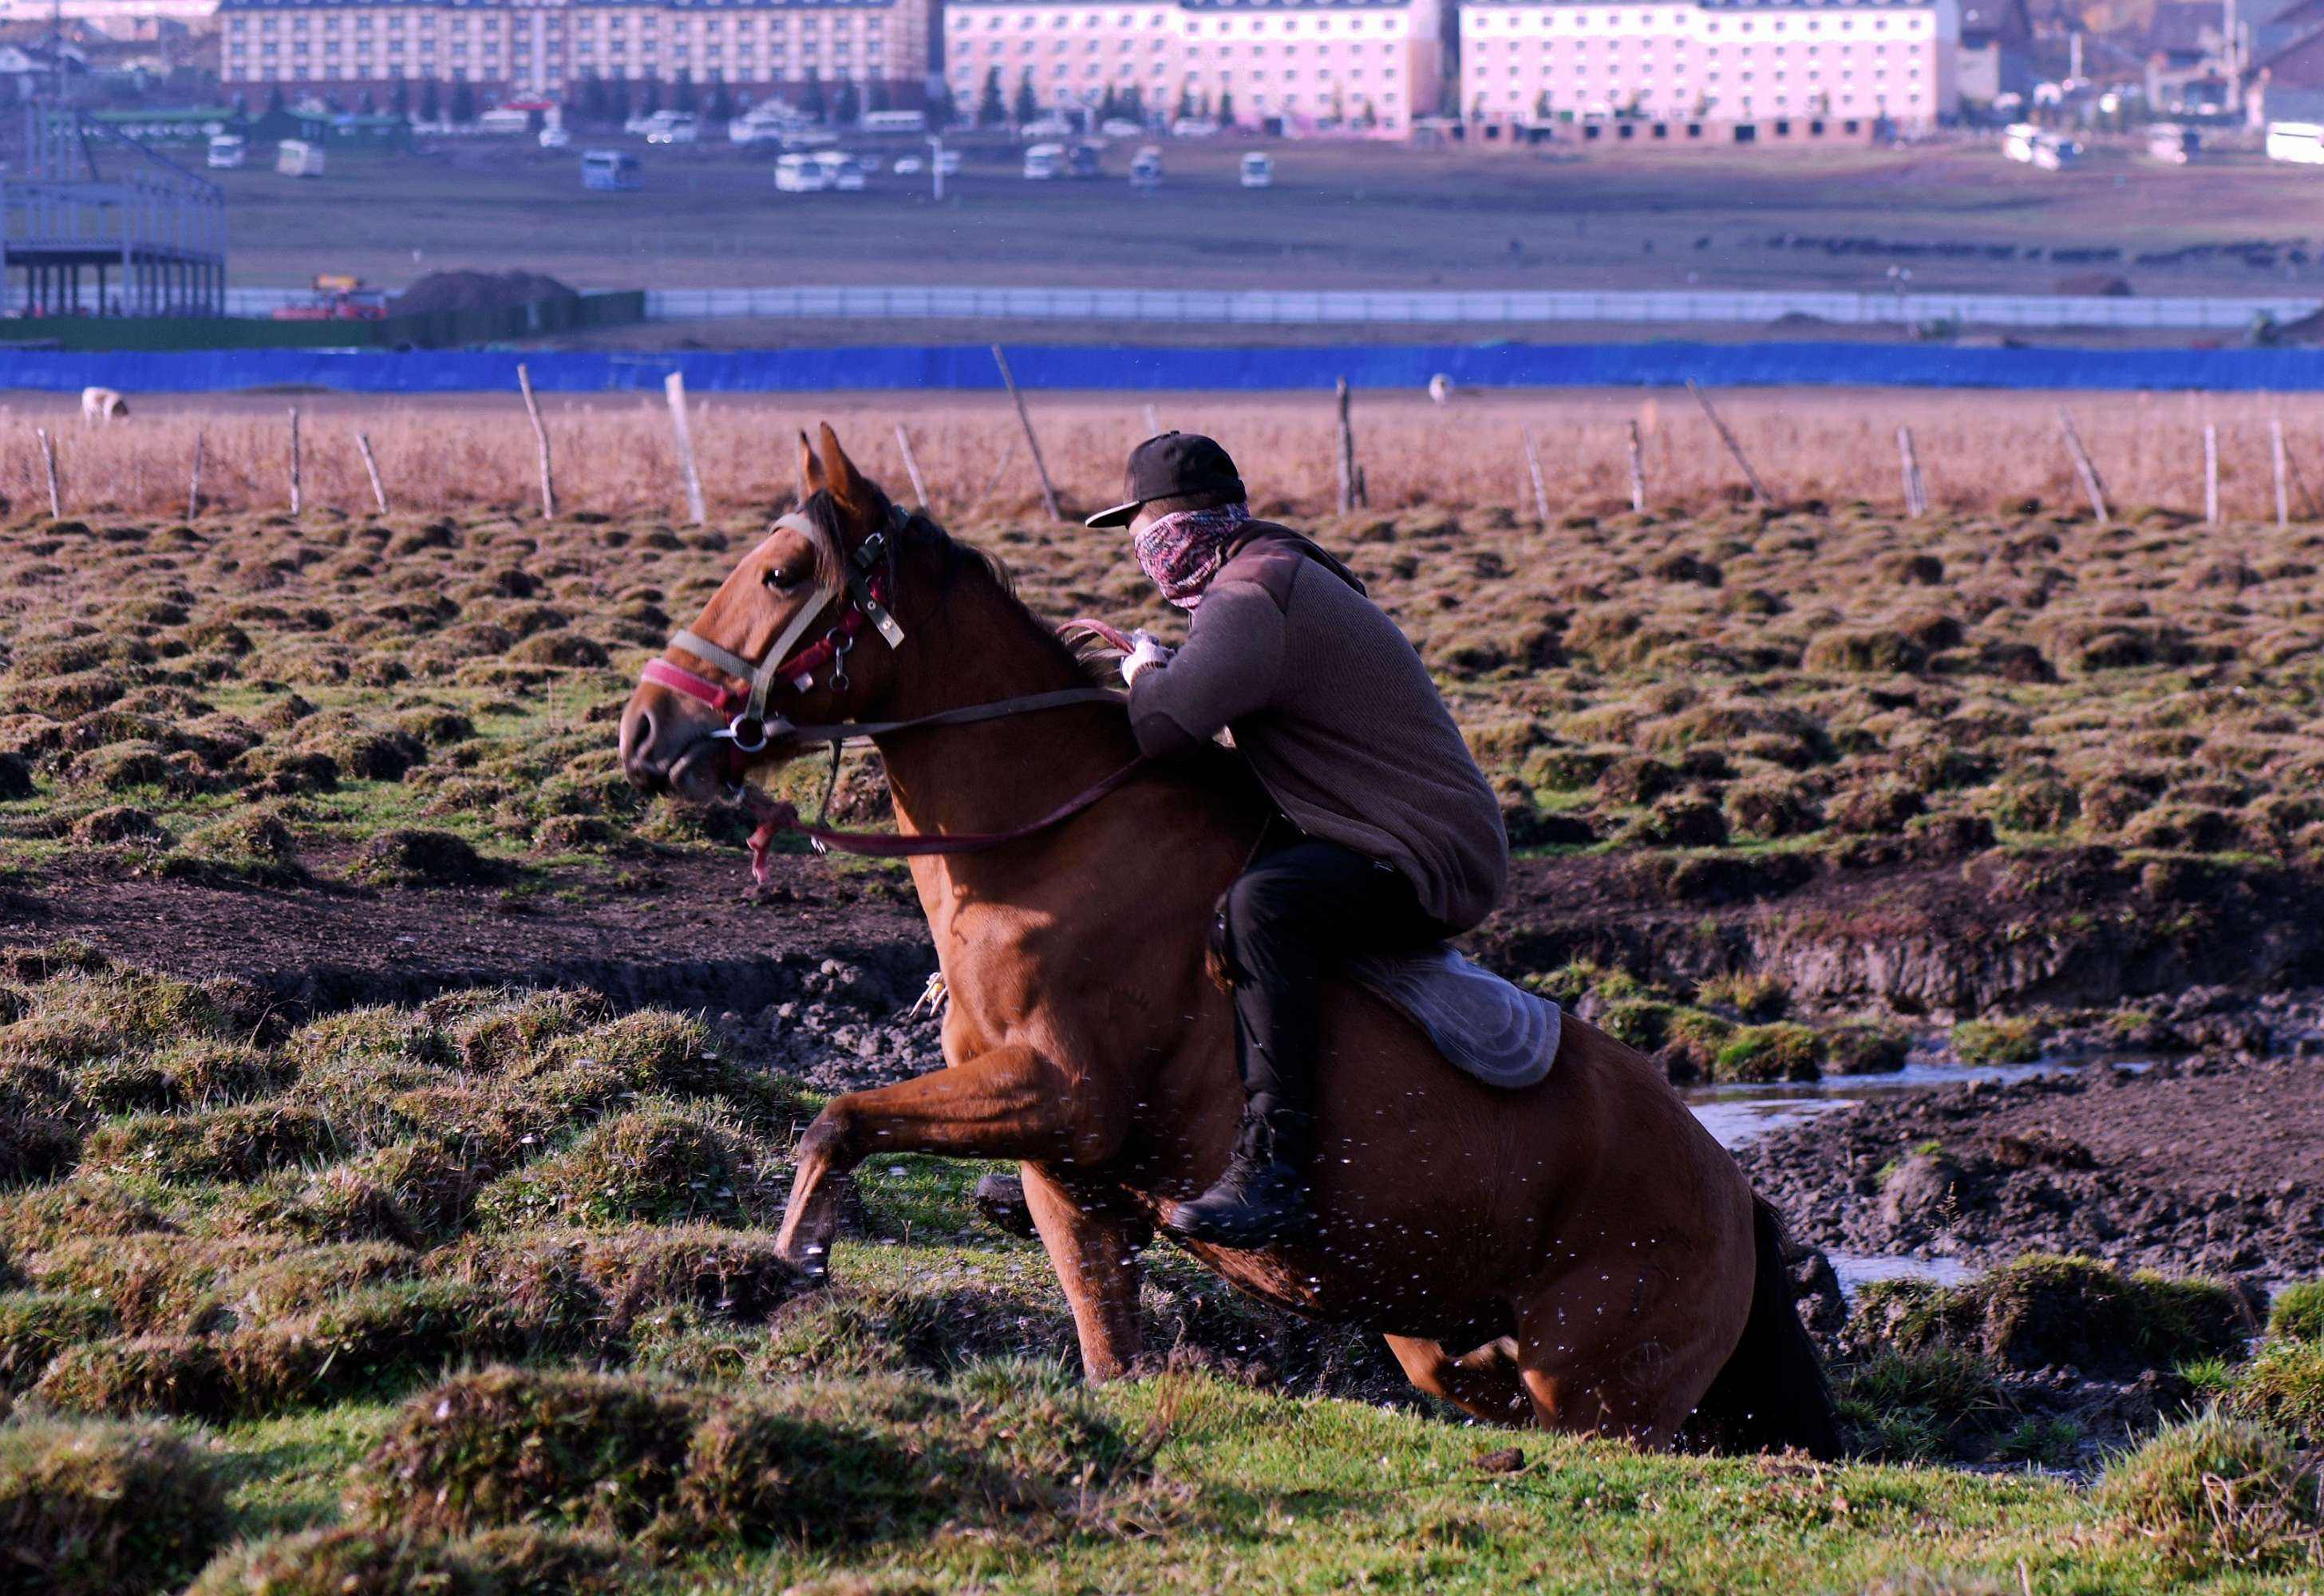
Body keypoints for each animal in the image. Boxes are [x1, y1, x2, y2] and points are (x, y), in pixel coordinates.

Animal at [627, 429, 1840, 1459]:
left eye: (784, 574)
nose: (648, 729)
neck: (1045, 847)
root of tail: (1735, 1196)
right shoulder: (1068, 1175)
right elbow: (1101, 1339)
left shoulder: (1060, 1093)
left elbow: (838, 1115)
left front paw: (794, 1255)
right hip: (1455, 1336)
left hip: (1598, 1390)